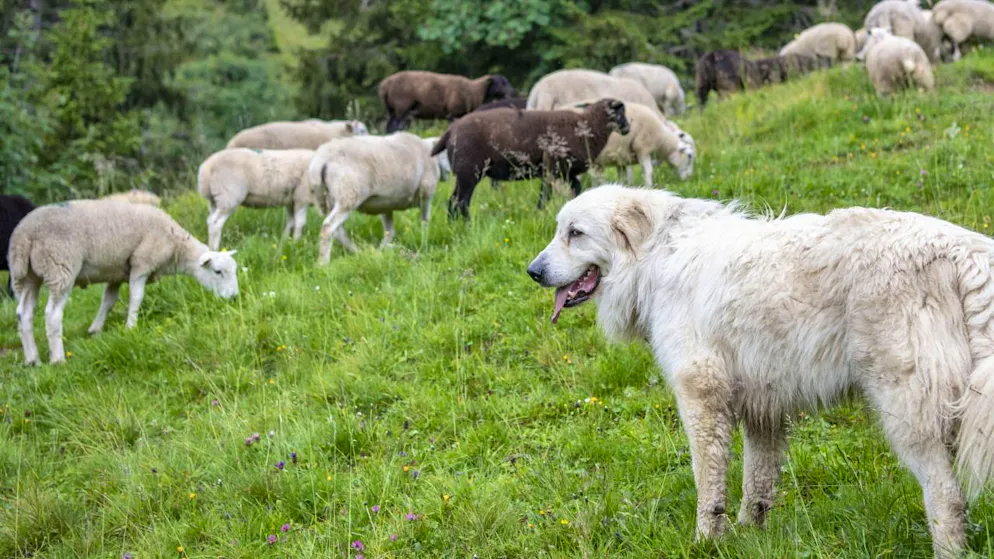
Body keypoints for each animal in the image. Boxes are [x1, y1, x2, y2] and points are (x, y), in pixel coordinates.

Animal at [8, 200, 239, 365]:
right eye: (218, 272)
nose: (234, 298)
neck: (175, 245)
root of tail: (24, 235)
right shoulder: (141, 263)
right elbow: (136, 298)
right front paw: (131, 327)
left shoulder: (116, 273)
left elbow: (108, 302)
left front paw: (95, 329)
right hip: (59, 267)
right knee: (52, 315)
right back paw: (58, 359)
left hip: (27, 277)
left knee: (24, 313)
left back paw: (32, 360)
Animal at [308, 132, 440, 264]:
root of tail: (322, 157)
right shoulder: (426, 194)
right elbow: (425, 221)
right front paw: (424, 242)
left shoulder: (386, 204)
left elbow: (389, 231)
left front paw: (382, 250)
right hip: (348, 194)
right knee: (328, 227)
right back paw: (323, 262)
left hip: (332, 198)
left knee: (339, 231)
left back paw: (357, 251)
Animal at [378, 71, 515, 132]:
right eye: (501, 83)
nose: (512, 93)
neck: (473, 91)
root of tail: (385, 85)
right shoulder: (453, 114)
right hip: (401, 107)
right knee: (395, 126)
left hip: (393, 110)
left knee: (389, 127)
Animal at [431, 98, 631, 220]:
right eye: (619, 112)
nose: (628, 127)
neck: (588, 127)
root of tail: (450, 131)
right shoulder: (552, 168)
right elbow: (546, 193)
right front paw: (540, 211)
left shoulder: (566, 172)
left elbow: (576, 187)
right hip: (468, 172)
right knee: (461, 201)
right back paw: (467, 224)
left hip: (465, 173)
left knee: (453, 201)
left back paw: (454, 226)